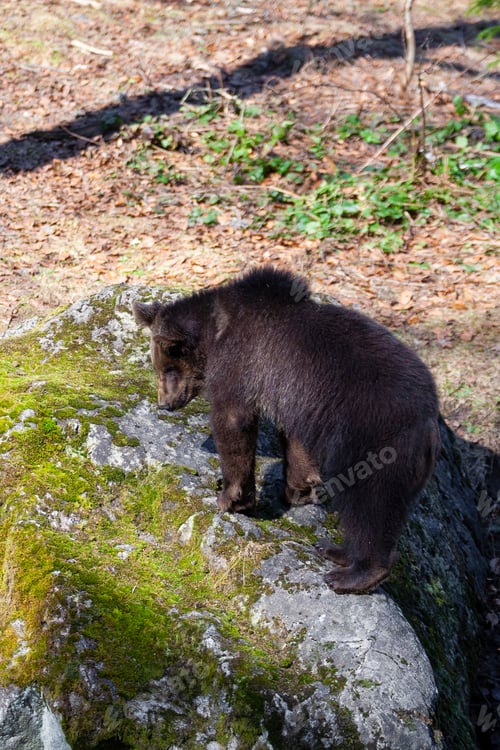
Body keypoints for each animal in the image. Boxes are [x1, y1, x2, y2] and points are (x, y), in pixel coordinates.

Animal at [133, 266, 440, 594]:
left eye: (167, 368)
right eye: (158, 367)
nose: (165, 404)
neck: (215, 331)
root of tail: (430, 427)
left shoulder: (243, 361)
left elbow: (233, 422)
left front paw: (231, 498)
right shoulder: (298, 399)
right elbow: (296, 444)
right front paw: (299, 490)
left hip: (373, 441)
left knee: (369, 506)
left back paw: (349, 575)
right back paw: (334, 550)